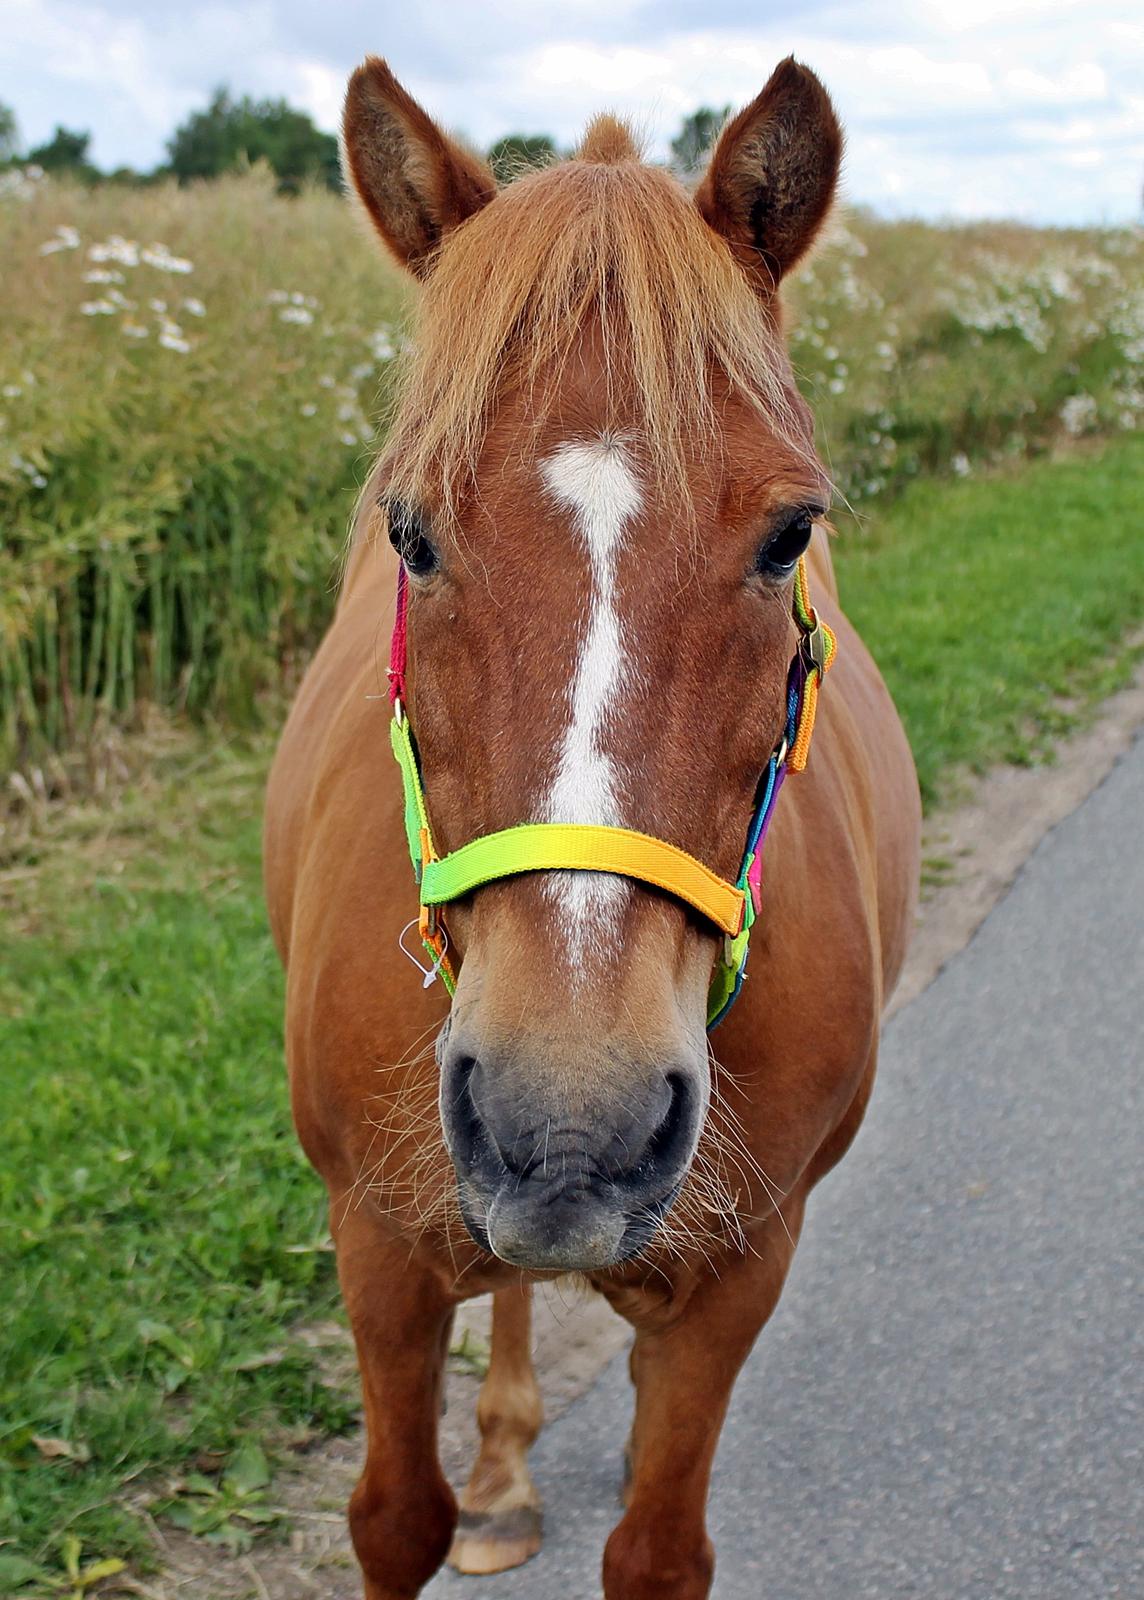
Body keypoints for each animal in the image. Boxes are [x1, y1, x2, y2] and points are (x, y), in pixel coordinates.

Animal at [262, 50, 921, 1600]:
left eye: (791, 534)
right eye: (410, 531)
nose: (570, 1121)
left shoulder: (738, 1275)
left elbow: (659, 1544)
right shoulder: (377, 1246)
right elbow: (394, 1516)